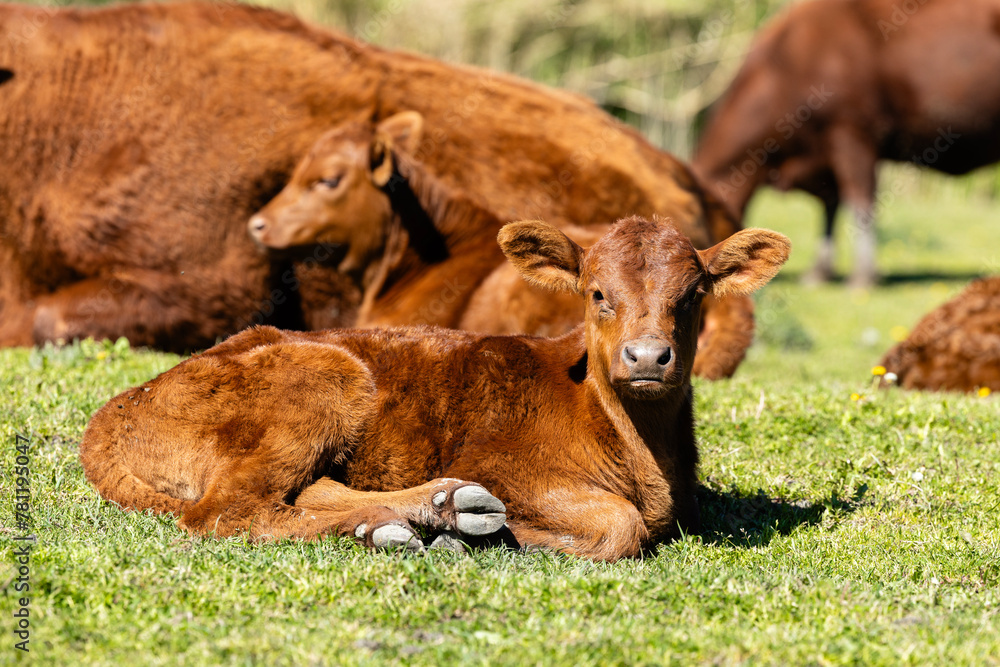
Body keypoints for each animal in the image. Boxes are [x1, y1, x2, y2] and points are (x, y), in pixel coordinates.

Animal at [79, 217, 791, 562]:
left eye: (692, 296)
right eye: (597, 293)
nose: (647, 356)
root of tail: (120, 405)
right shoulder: (504, 463)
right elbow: (620, 525)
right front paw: (517, 537)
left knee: (307, 492)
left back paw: (423, 516)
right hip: (322, 375)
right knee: (229, 511)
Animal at [693, 0, 1000, 287]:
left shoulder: (852, 133)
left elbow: (860, 201)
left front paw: (863, 277)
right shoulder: (825, 155)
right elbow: (831, 205)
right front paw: (820, 272)